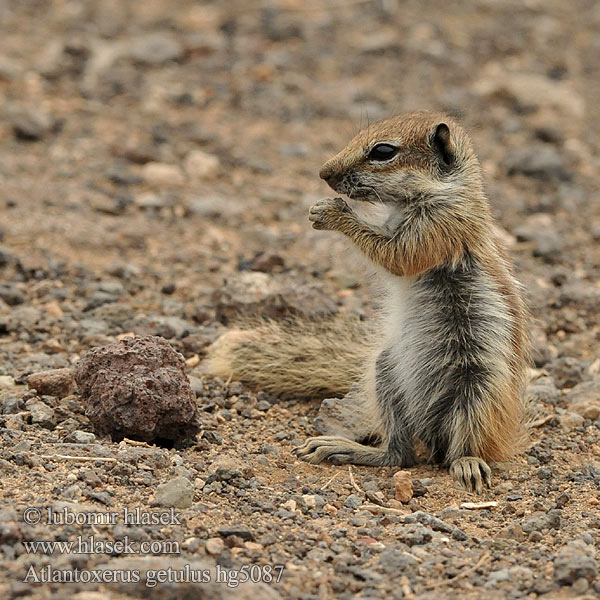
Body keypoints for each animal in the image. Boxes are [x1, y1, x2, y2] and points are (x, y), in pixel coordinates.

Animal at [207, 111, 528, 492]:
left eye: (383, 151)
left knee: (462, 447)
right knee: (399, 455)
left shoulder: (440, 225)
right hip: (385, 373)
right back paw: (344, 448)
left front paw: (332, 213)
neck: (445, 191)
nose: (323, 173)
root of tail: (433, 436)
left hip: (478, 391)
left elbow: (396, 256)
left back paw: (467, 463)